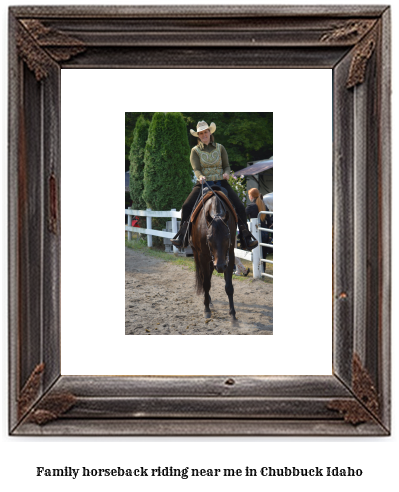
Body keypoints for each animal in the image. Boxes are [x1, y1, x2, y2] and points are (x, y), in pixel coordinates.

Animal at [191, 192, 238, 322]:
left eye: (227, 237)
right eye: (209, 238)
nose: (221, 266)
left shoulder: (229, 256)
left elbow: (229, 286)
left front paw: (232, 314)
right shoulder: (202, 257)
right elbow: (206, 283)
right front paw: (207, 310)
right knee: (204, 278)